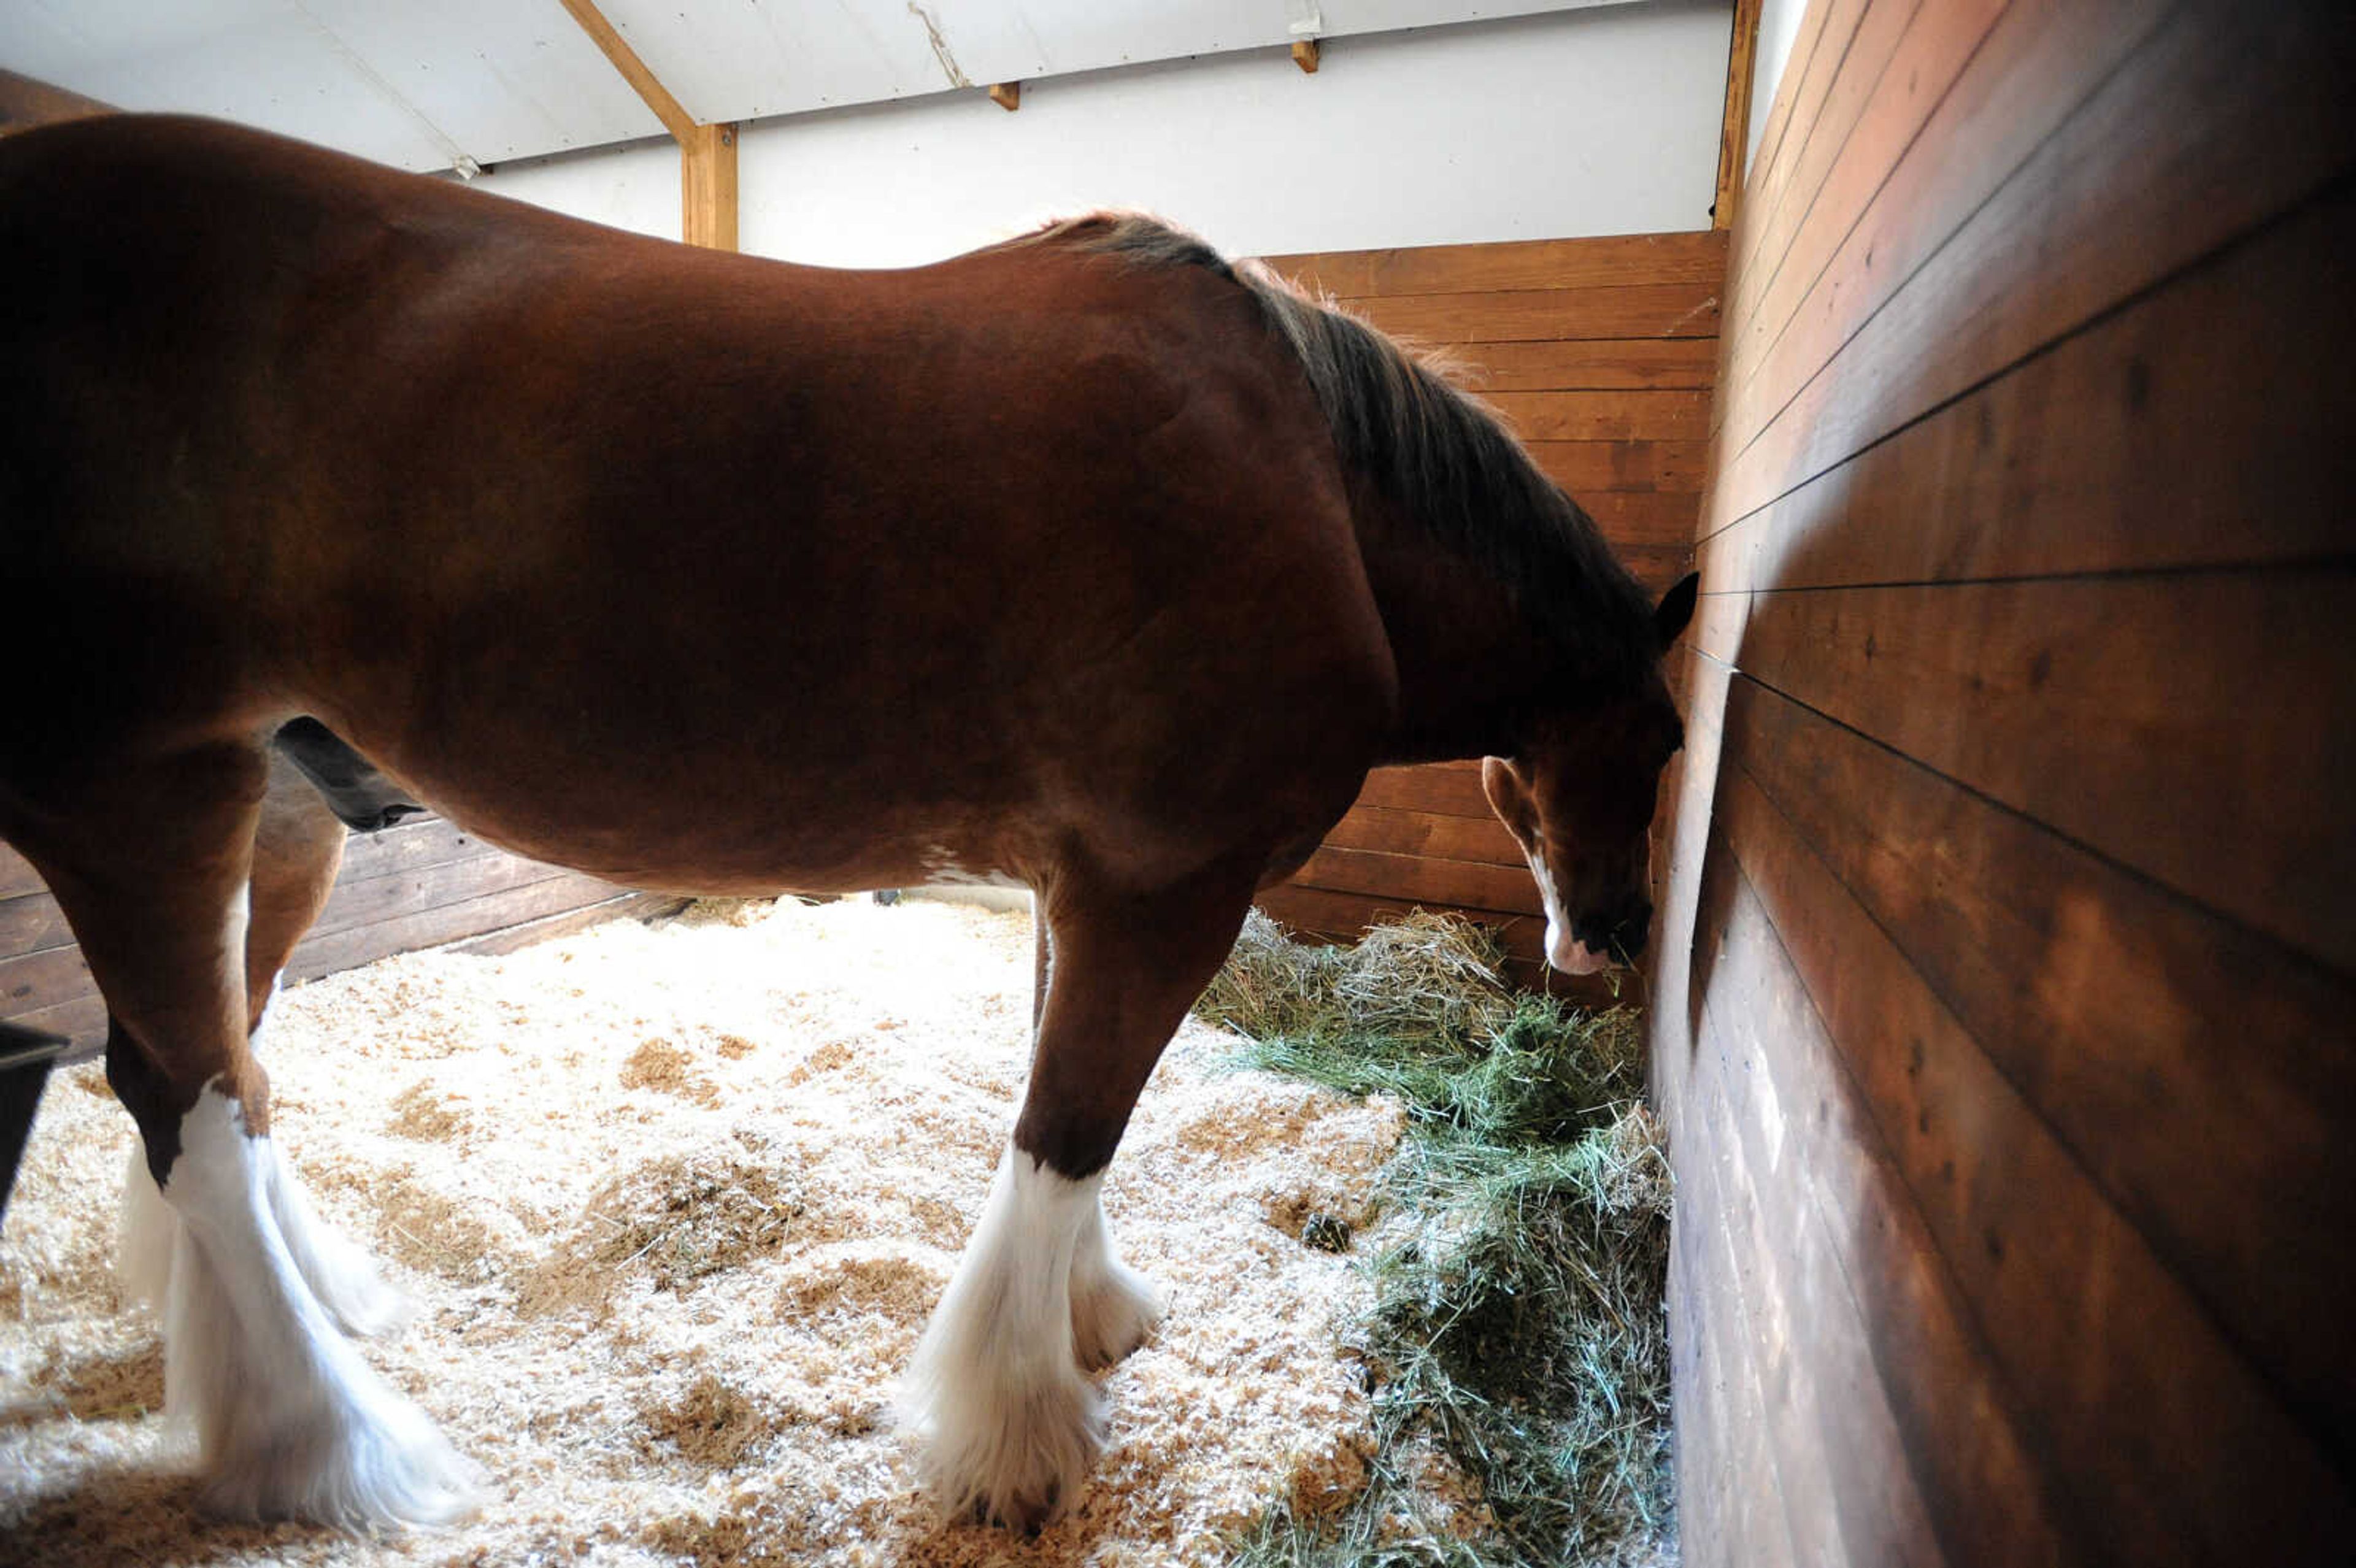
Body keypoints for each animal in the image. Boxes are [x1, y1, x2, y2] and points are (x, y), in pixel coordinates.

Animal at [0, 116, 1696, 1535]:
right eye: (1670, 737)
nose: (1608, 934)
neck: (1310, 490)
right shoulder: (1167, 885)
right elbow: (1068, 1128)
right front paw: (1017, 1436)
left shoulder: (1090, 883)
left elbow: (1066, 1103)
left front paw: (1090, 1317)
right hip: (144, 794)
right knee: (180, 1096)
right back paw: (324, 1446)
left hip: (277, 805)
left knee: (217, 1070)